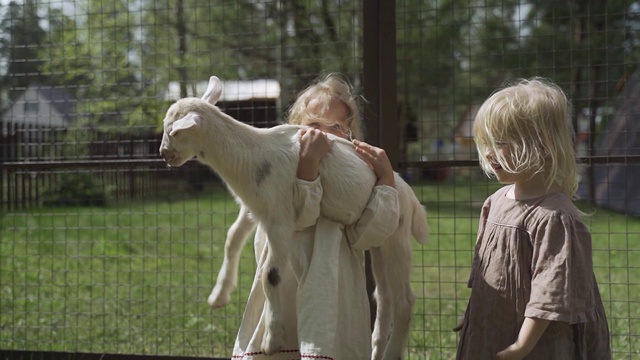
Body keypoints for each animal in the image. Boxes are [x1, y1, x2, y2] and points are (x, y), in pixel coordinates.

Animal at [160, 74, 430, 358]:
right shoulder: (256, 208)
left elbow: (270, 274)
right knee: (385, 297)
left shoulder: (281, 219)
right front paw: (219, 296)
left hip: (397, 232)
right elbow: (232, 239)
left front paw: (272, 341)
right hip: (379, 241)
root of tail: (412, 199)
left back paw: (392, 351)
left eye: (174, 131)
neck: (252, 156)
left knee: (405, 300)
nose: (164, 154)